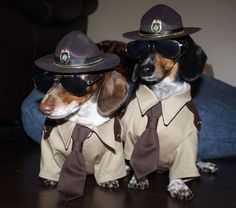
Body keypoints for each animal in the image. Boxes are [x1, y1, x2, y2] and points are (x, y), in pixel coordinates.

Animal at [120, 35, 218, 200]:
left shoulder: (187, 142)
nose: (144, 69)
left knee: (195, 160)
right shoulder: (131, 138)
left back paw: (205, 165)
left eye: (168, 45)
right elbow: (137, 159)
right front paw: (139, 179)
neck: (162, 96)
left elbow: (182, 166)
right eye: (140, 48)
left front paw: (178, 185)